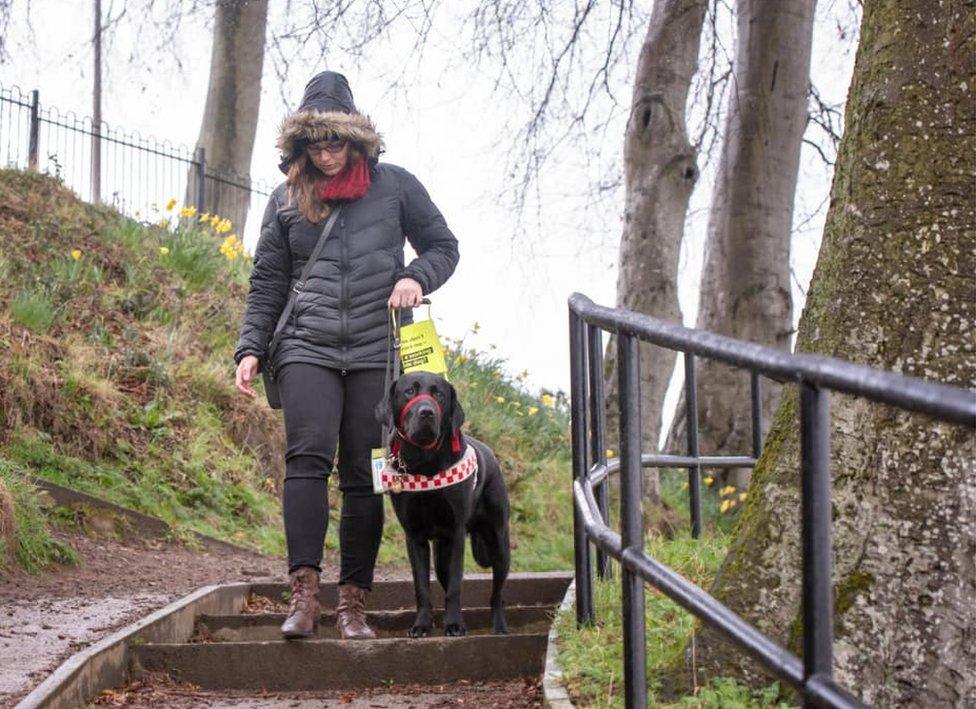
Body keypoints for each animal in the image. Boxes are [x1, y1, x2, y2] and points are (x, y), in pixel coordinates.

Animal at [376, 370, 510, 636]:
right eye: (410, 391)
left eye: (439, 394)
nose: (426, 412)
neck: (424, 461)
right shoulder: (414, 537)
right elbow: (422, 588)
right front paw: (421, 625)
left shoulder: (456, 533)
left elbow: (456, 586)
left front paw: (455, 624)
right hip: (440, 556)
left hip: (499, 542)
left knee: (496, 594)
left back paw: (499, 627)